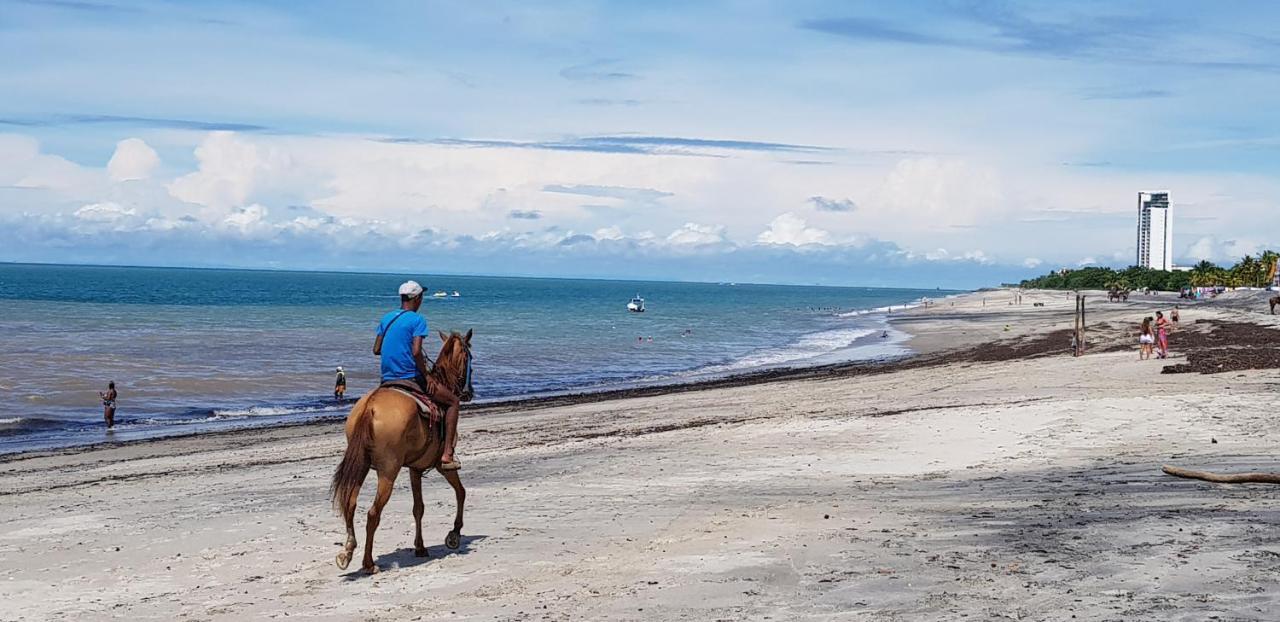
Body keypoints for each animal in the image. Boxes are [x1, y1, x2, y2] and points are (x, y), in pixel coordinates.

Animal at [330, 330, 476, 573]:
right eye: (469, 359)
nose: (469, 392)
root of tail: (371, 405)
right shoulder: (441, 466)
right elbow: (461, 492)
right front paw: (454, 534)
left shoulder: (415, 468)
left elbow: (419, 508)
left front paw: (420, 547)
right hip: (388, 471)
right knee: (373, 513)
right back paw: (368, 563)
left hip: (361, 464)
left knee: (350, 503)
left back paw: (347, 552)